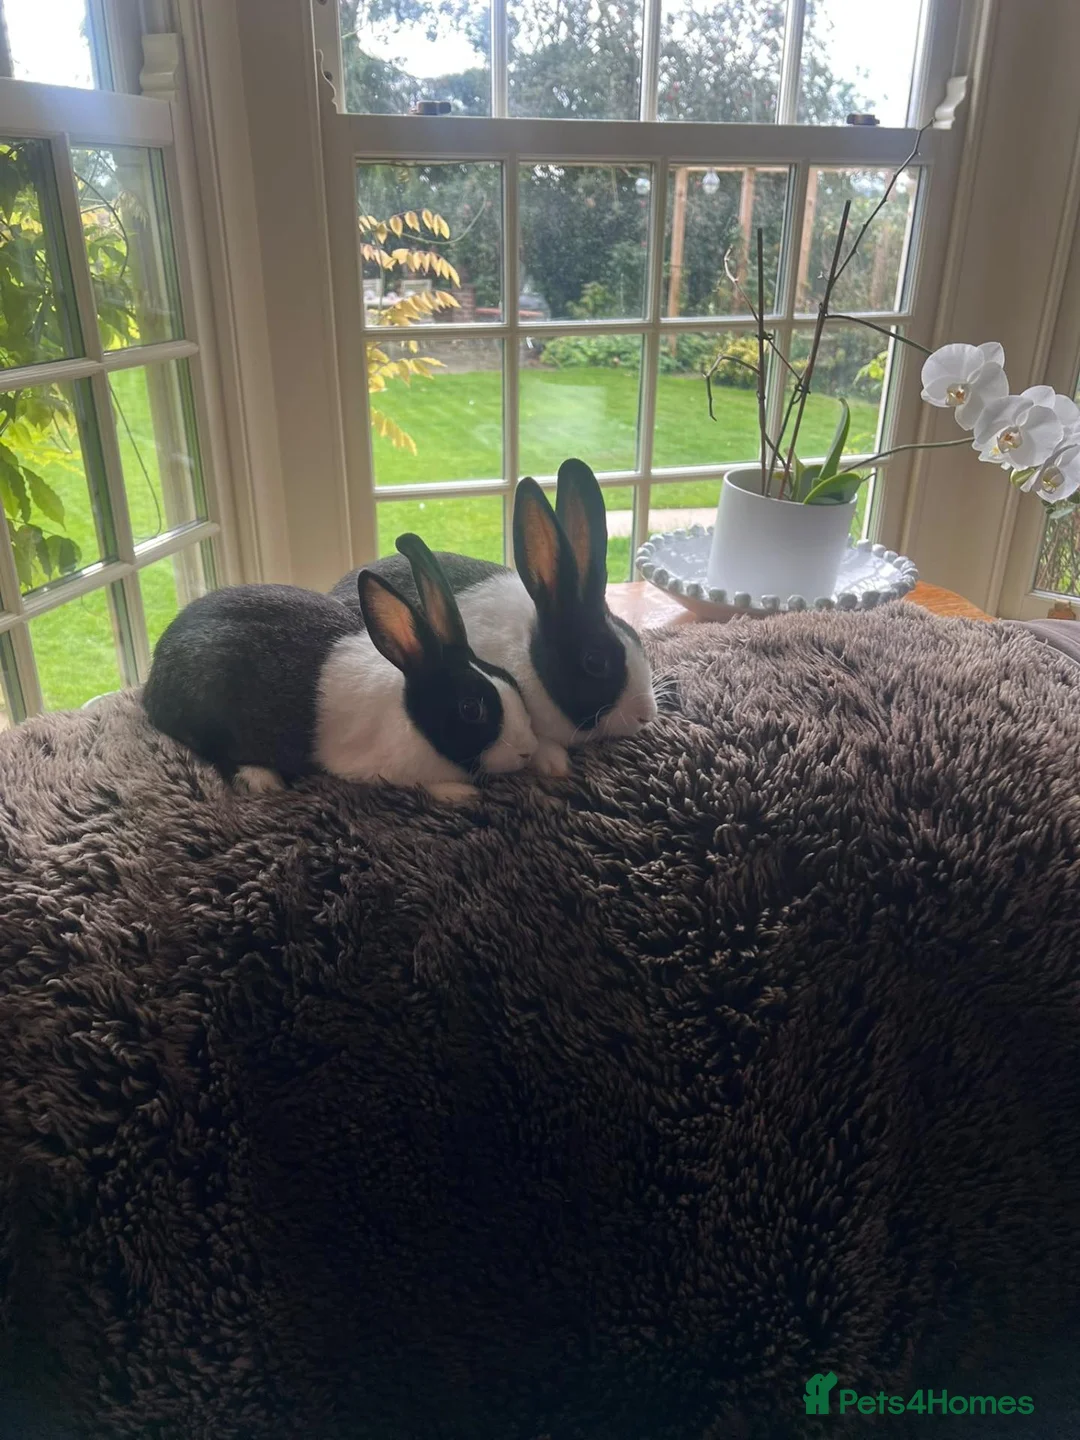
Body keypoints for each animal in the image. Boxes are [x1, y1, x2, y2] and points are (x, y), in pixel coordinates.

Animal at [143, 534, 539, 804]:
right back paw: (260, 778)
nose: (527, 751)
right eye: (471, 709)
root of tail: (151, 683)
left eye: (510, 681)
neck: (409, 716)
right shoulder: (377, 770)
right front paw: (458, 792)